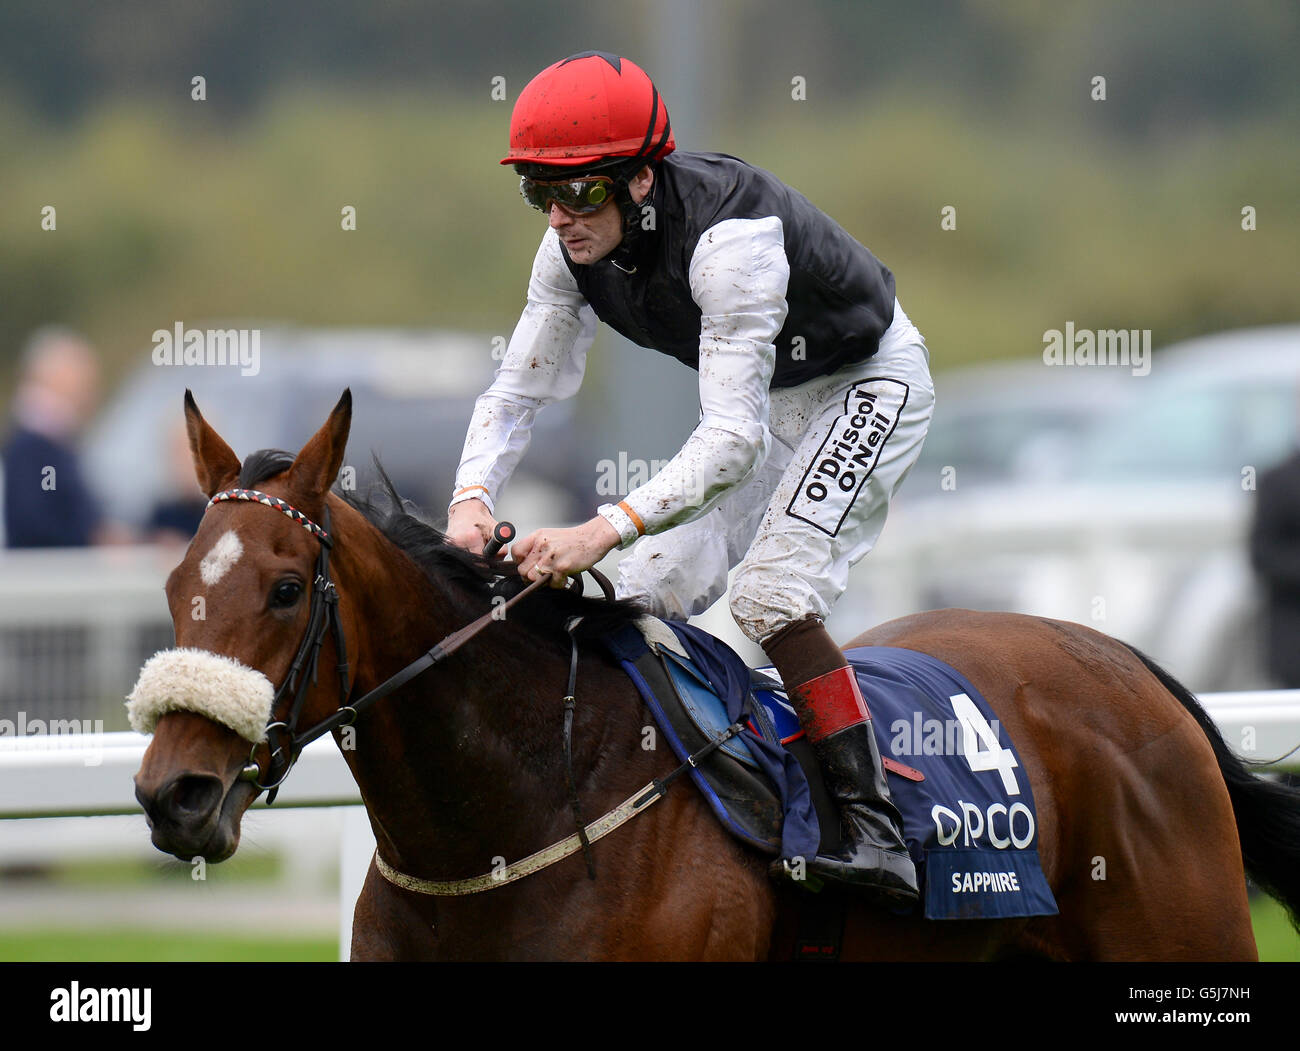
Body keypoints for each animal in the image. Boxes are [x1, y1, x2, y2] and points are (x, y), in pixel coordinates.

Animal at [131, 392, 1300, 962]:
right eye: (177, 582)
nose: (170, 793)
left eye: (287, 589)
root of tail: (1127, 662)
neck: (509, 828)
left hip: (1184, 927)